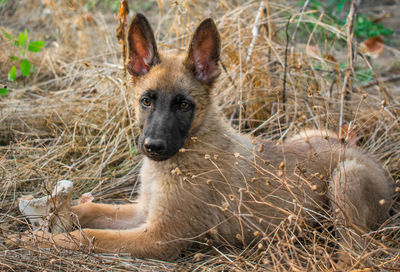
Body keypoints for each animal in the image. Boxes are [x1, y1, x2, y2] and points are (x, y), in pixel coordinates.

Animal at [8, 13, 394, 260]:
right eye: (146, 100)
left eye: (184, 105)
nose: (153, 147)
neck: (188, 150)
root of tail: (374, 161)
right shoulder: (142, 213)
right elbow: (91, 211)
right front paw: (55, 218)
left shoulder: (158, 237)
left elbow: (88, 235)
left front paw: (37, 239)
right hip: (310, 135)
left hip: (344, 181)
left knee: (356, 251)